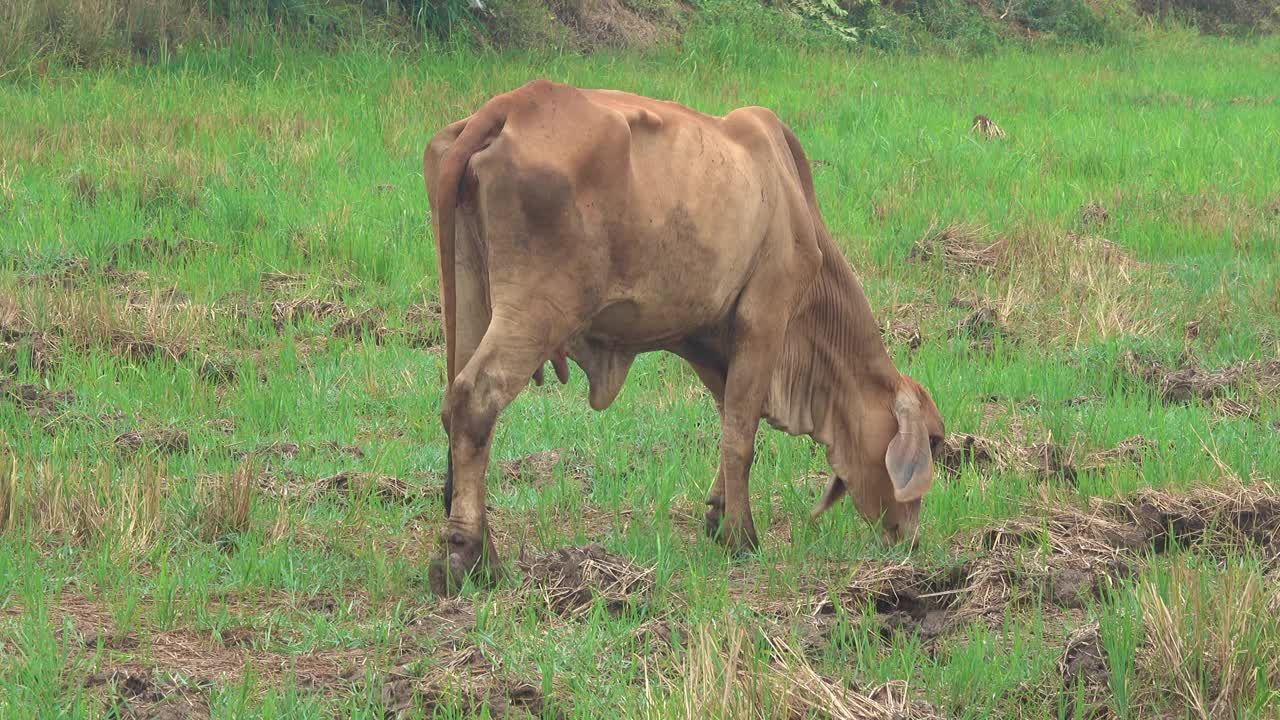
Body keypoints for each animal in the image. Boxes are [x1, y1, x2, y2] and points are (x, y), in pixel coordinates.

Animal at [424, 79, 947, 594]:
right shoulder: (766, 316)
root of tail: (510, 104)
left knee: (454, 406)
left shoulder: (709, 338)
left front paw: (718, 513)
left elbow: (731, 415)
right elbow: (741, 436)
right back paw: (471, 557)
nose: (912, 540)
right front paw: (741, 536)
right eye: (935, 441)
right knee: (474, 402)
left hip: (471, 298)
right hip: (537, 309)